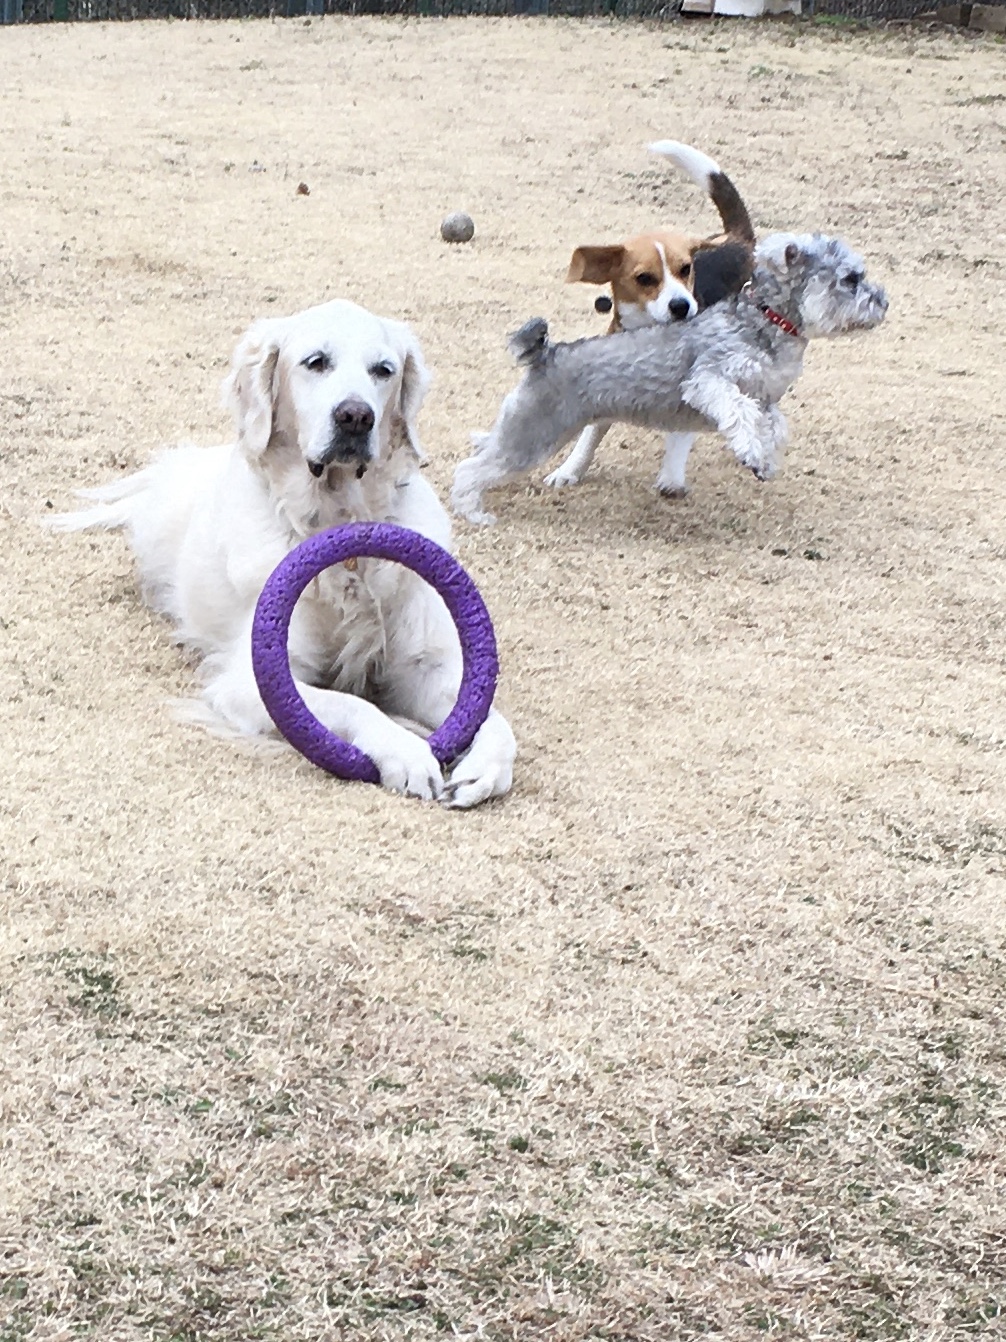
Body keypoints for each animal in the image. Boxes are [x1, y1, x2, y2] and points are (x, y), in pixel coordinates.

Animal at [50, 299, 516, 808]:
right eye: (316, 362)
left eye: (383, 370)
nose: (356, 416)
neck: (339, 525)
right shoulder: (254, 681)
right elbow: (355, 704)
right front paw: (407, 752)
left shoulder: (420, 669)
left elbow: (496, 719)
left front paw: (484, 769)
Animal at [451, 234, 889, 526]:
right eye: (851, 279)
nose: (884, 302)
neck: (768, 321)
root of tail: (547, 353)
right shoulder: (709, 381)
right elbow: (738, 411)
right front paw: (751, 452)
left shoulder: (766, 398)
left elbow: (772, 424)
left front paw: (764, 458)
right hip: (532, 438)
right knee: (469, 471)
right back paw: (473, 513)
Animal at [543, 140, 756, 498]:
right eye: (644, 278)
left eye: (685, 269)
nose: (681, 306)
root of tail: (736, 241)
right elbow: (588, 437)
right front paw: (568, 471)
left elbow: (680, 436)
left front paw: (671, 477)